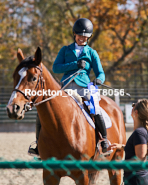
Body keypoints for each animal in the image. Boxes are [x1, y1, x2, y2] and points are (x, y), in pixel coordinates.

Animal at [6, 47, 125, 185]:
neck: (60, 126)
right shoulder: (50, 175)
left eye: (34, 78)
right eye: (14, 76)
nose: (12, 109)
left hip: (116, 165)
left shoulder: (82, 175)